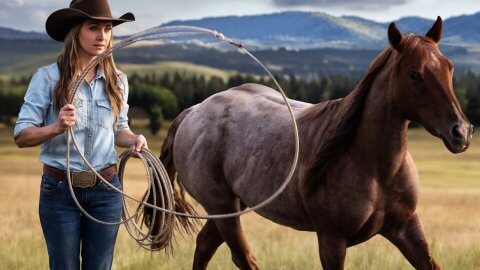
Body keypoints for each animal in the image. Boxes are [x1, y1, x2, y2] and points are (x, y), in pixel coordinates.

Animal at [146, 17, 472, 270]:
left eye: (449, 67)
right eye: (414, 74)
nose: (461, 132)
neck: (372, 167)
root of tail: (192, 112)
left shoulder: (406, 229)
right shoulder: (332, 240)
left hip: (231, 207)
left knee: (204, 246)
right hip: (221, 207)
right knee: (242, 257)